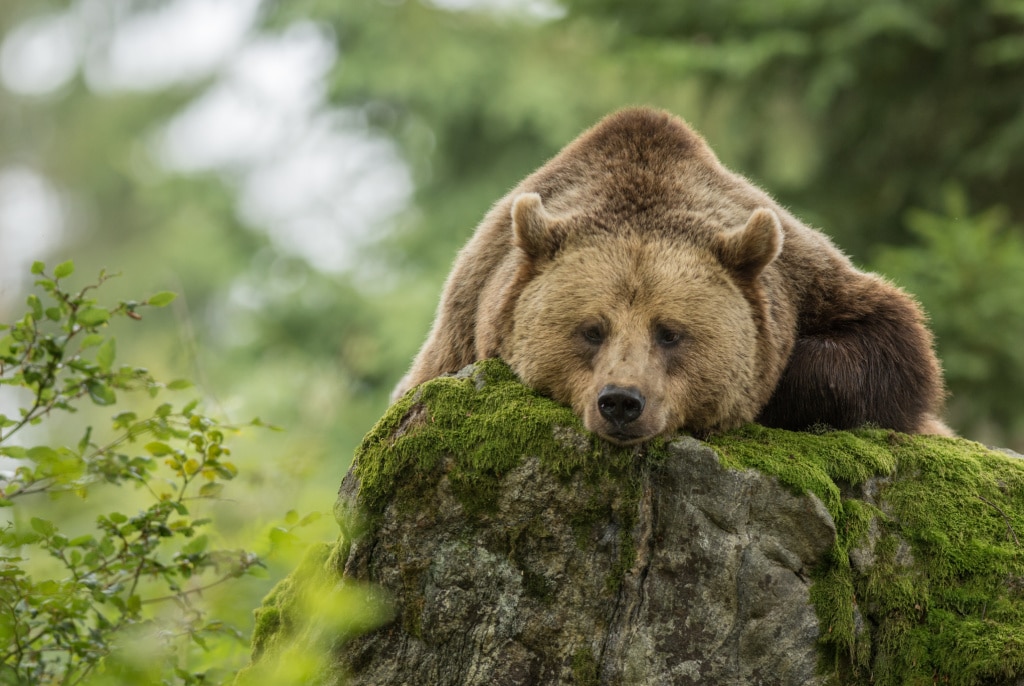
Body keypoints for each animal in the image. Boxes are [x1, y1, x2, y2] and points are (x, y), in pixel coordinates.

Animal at [392, 107, 950, 445]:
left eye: (670, 332)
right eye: (591, 330)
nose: (621, 402)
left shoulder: (808, 278)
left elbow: (888, 343)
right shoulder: (464, 323)